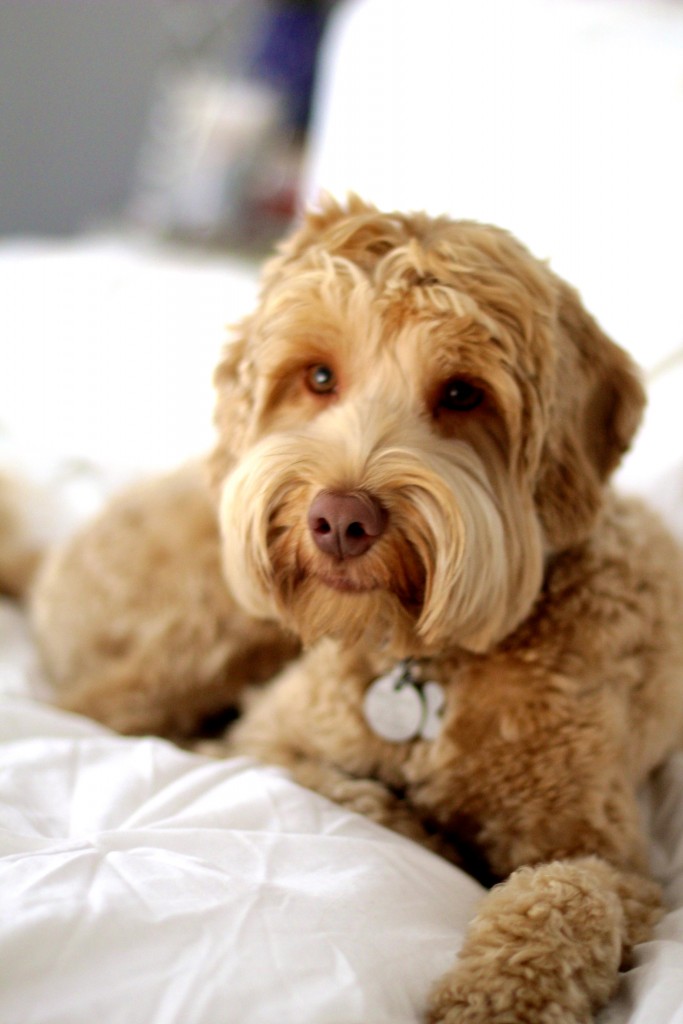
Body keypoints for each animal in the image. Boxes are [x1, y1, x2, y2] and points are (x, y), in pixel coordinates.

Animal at [30, 195, 683, 1019]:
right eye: (318, 376)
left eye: (462, 393)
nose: (341, 519)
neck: (426, 664)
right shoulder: (269, 741)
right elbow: (360, 800)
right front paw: (437, 840)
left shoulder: (616, 859)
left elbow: (567, 893)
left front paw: (494, 997)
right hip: (215, 628)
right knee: (88, 710)